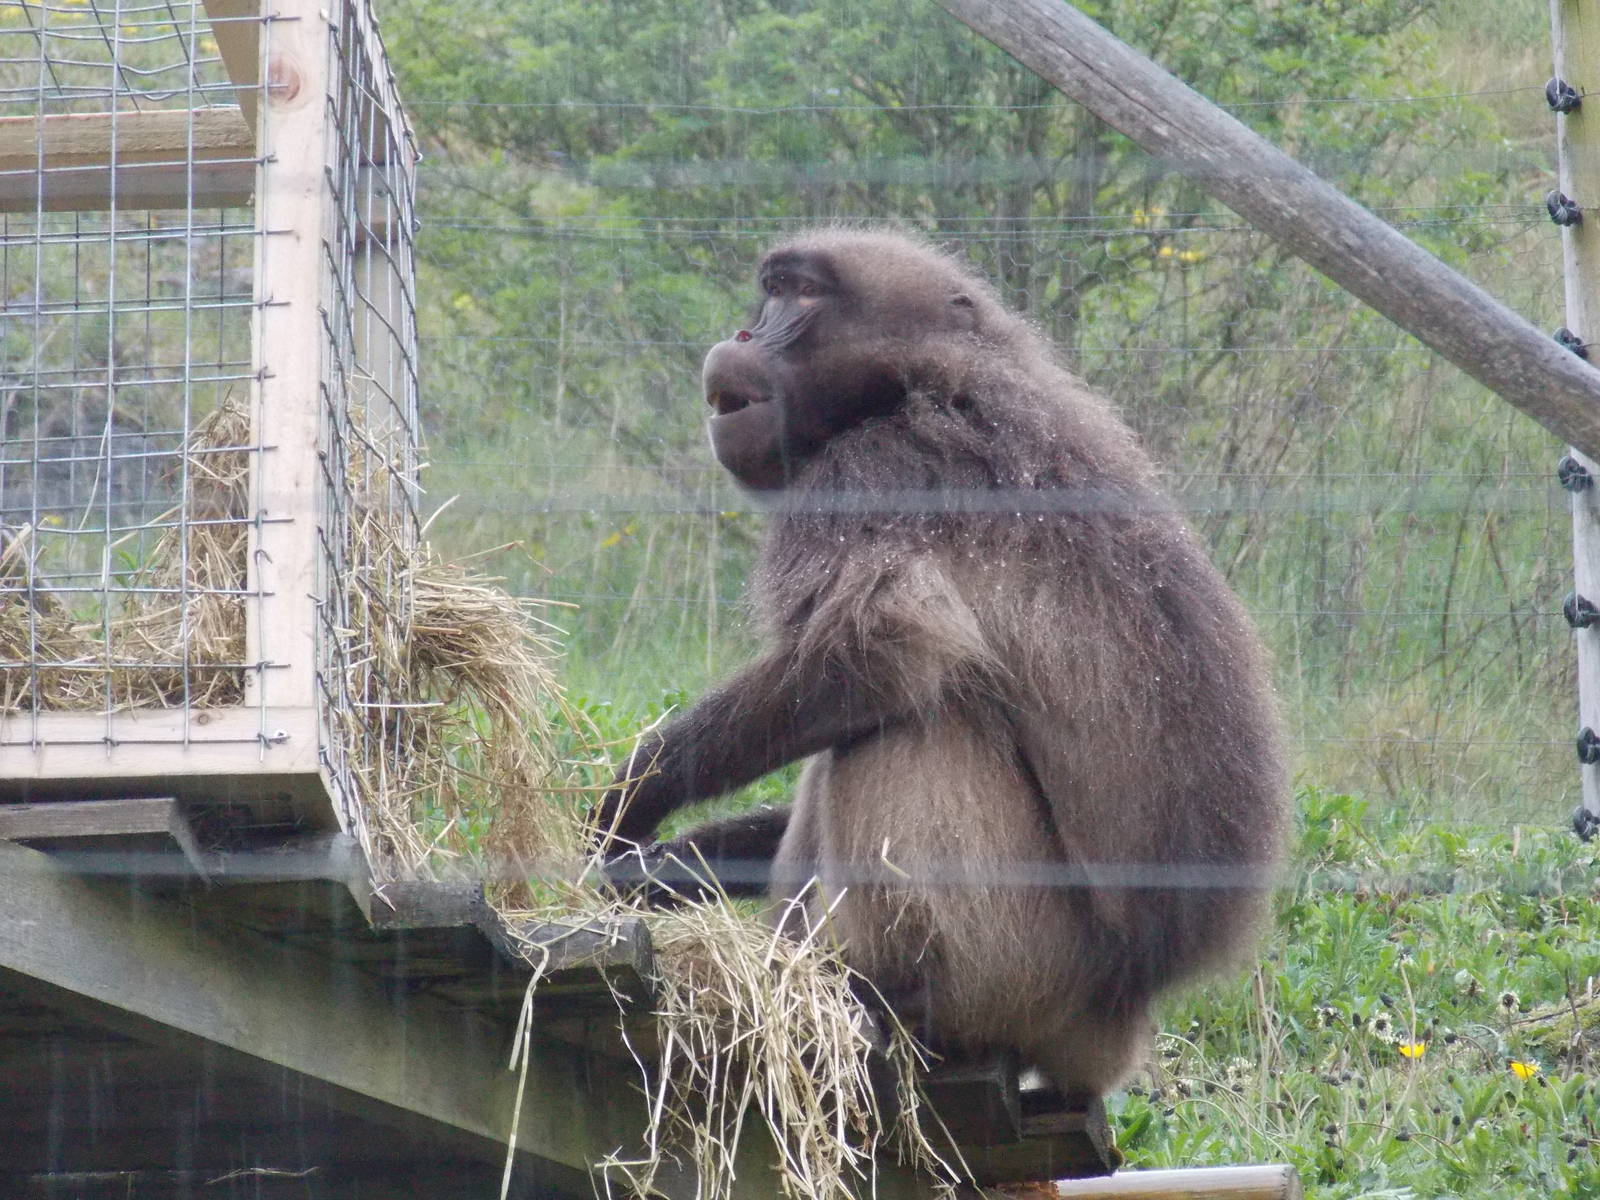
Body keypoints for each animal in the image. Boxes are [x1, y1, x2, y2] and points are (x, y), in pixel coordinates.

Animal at [595, 229, 1287, 1097]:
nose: (746, 333)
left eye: (800, 294)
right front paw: (670, 866)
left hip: (1028, 961)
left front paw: (635, 794)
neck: (923, 383)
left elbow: (881, 650)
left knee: (910, 719)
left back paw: (877, 991)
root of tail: (1122, 1014)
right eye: (770, 290)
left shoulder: (873, 471)